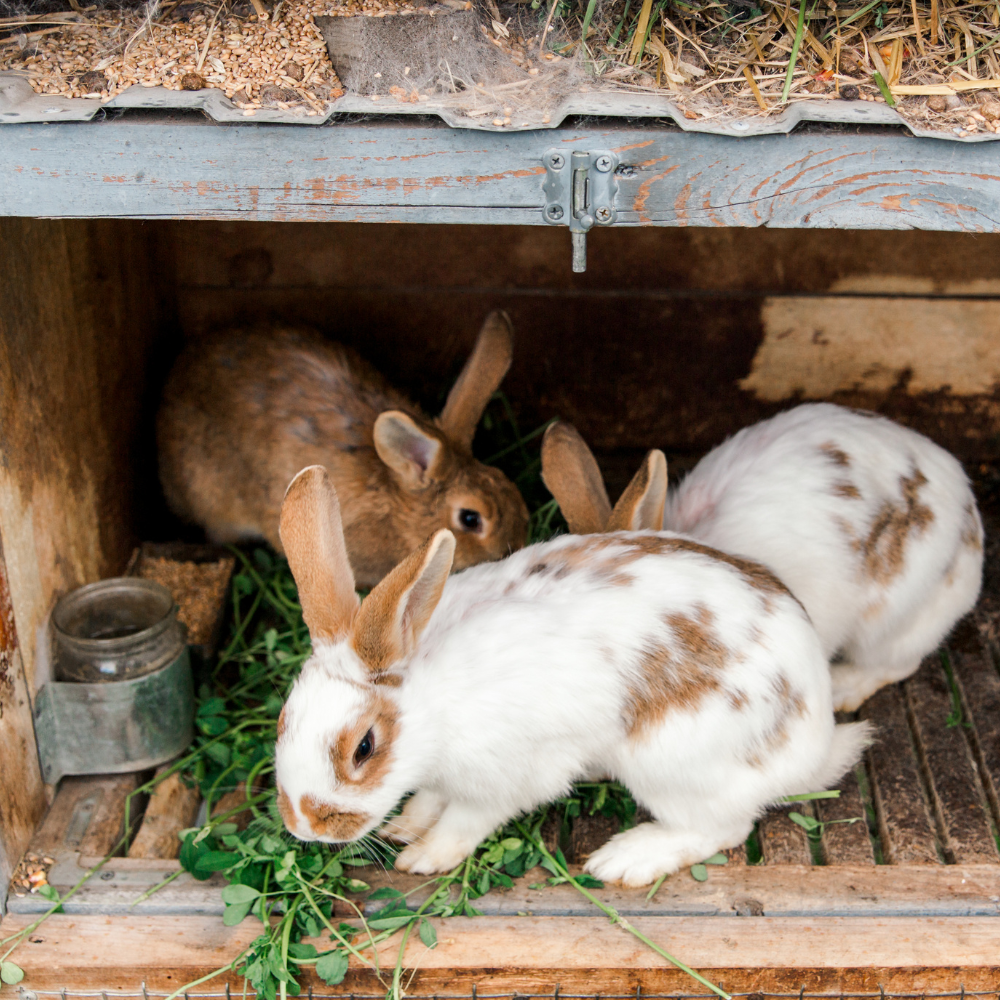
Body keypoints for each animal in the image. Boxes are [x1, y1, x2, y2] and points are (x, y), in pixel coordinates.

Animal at [274, 464, 868, 888]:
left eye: (364, 748)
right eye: (284, 720)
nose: (303, 825)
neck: (432, 702)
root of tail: (814, 744)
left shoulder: (509, 776)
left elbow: (467, 819)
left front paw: (423, 856)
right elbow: (429, 799)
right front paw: (405, 825)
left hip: (673, 768)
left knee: (724, 827)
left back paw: (624, 860)